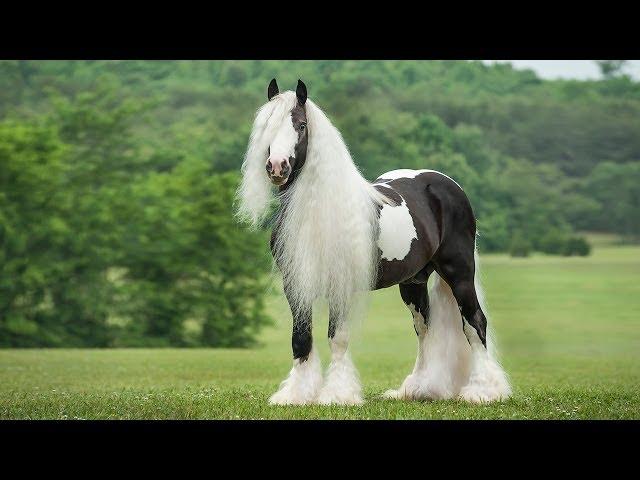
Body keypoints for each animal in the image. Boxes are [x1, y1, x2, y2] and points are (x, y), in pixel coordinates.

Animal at [238, 79, 512, 404]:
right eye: (267, 125)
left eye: (301, 125)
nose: (277, 167)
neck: (317, 210)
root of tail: (447, 184)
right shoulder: (295, 285)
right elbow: (301, 339)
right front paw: (296, 395)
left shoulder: (340, 284)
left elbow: (338, 338)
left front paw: (337, 395)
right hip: (413, 281)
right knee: (424, 329)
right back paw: (418, 388)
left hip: (459, 272)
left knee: (474, 323)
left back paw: (483, 390)